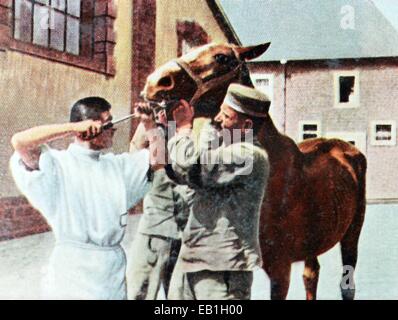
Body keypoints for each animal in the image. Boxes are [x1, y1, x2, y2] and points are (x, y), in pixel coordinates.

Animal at [141, 42, 366, 300]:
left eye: (222, 58)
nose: (156, 82)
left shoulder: (280, 267)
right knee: (311, 275)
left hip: (352, 234)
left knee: (346, 282)